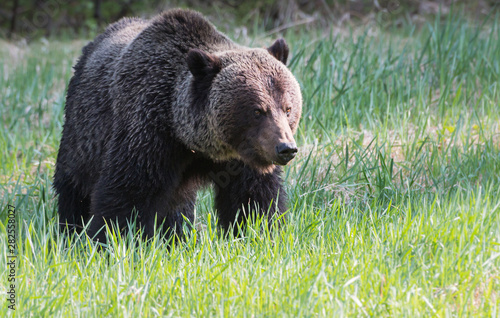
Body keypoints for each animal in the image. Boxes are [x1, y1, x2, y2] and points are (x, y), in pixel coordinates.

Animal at [54, 8, 304, 241]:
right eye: (257, 111)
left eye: (288, 108)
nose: (286, 148)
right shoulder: (148, 132)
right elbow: (127, 193)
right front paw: (111, 239)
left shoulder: (243, 158)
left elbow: (253, 199)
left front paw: (260, 233)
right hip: (84, 129)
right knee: (72, 184)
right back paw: (70, 230)